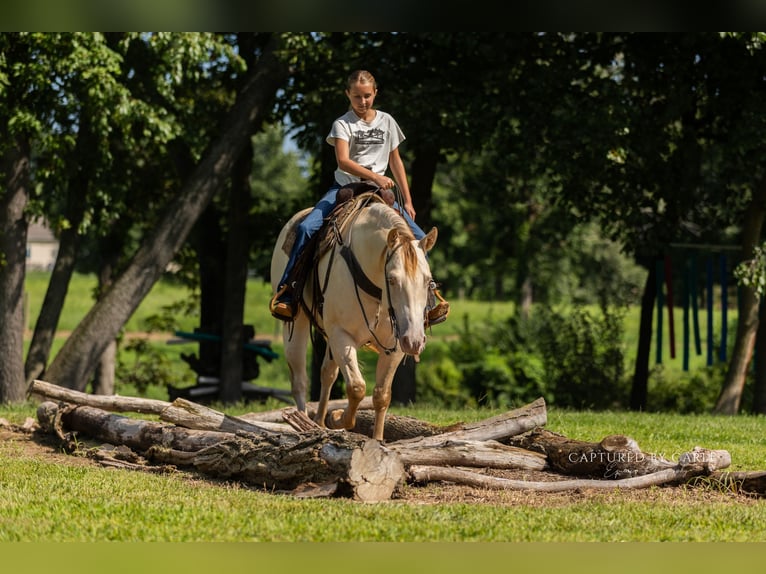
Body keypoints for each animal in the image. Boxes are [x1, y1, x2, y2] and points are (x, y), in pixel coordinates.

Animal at [270, 195, 438, 441]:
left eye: (428, 281)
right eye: (392, 279)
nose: (415, 341)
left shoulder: (396, 343)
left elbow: (381, 394)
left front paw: (377, 440)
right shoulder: (342, 335)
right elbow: (357, 387)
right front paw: (338, 418)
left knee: (327, 374)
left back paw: (317, 421)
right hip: (296, 324)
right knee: (299, 381)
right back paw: (303, 422)